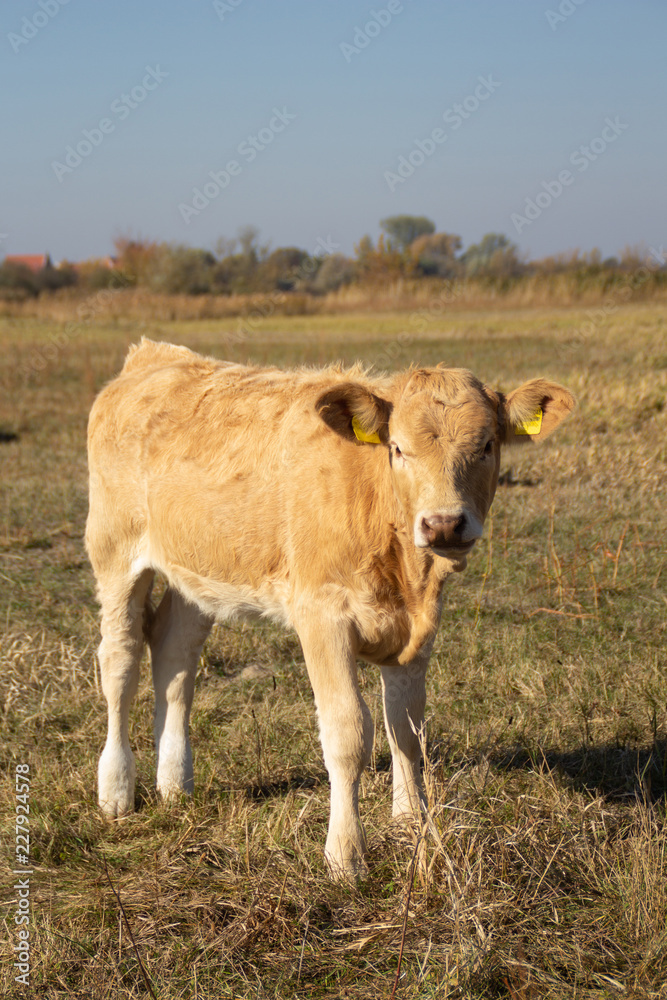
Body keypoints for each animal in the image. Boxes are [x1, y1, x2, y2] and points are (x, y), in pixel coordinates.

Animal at [85, 339, 574, 878]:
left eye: (486, 445)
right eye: (397, 448)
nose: (444, 524)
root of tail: (153, 358)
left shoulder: (417, 631)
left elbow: (407, 729)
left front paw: (414, 824)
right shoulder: (322, 616)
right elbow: (347, 734)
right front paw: (345, 854)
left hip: (198, 570)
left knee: (175, 655)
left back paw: (175, 785)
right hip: (115, 553)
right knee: (121, 660)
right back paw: (116, 790)